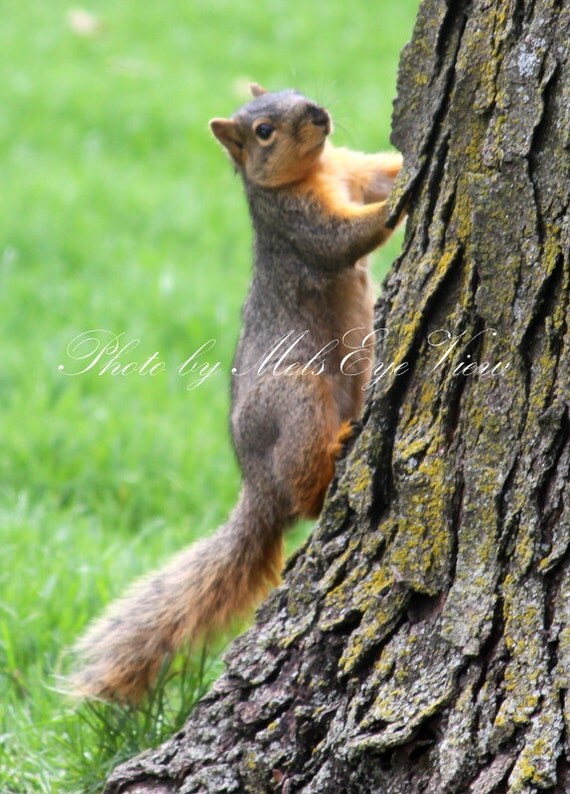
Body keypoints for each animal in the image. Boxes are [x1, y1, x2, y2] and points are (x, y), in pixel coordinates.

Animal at [70, 84, 403, 703]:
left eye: (298, 91)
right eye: (264, 132)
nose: (318, 113)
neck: (316, 170)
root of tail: (257, 487)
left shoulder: (350, 170)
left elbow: (376, 173)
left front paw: (408, 165)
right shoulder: (297, 226)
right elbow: (342, 238)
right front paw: (404, 199)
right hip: (294, 400)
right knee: (304, 492)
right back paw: (336, 451)